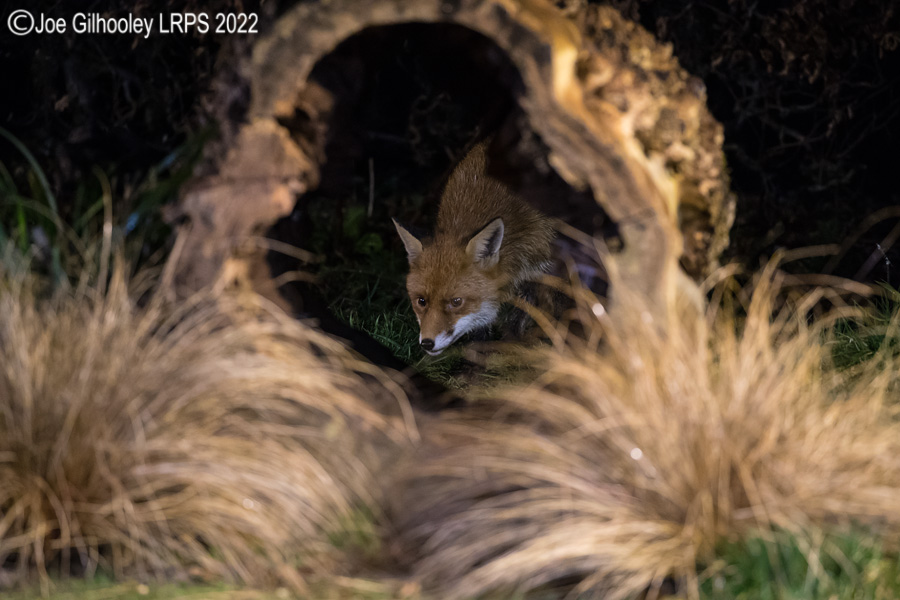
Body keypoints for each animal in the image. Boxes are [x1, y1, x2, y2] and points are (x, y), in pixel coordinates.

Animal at [392, 141, 555, 356]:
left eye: (456, 302)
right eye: (421, 301)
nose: (427, 343)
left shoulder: (540, 269)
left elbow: (521, 317)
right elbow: (479, 331)